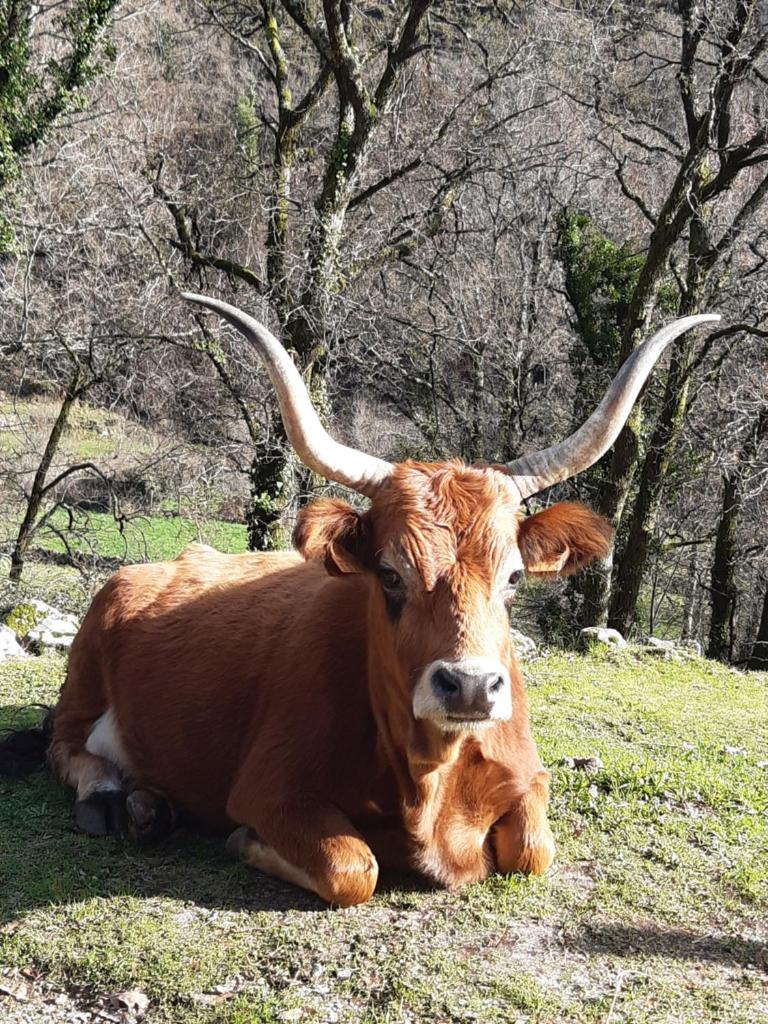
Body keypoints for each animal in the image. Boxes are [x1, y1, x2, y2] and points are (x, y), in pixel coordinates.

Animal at [2, 296, 718, 906]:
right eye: (390, 574)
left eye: (514, 578)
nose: (469, 686)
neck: (431, 779)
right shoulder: (271, 787)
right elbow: (354, 867)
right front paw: (246, 842)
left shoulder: (530, 780)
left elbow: (531, 849)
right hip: (85, 675)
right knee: (67, 747)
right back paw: (120, 801)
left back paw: (151, 805)